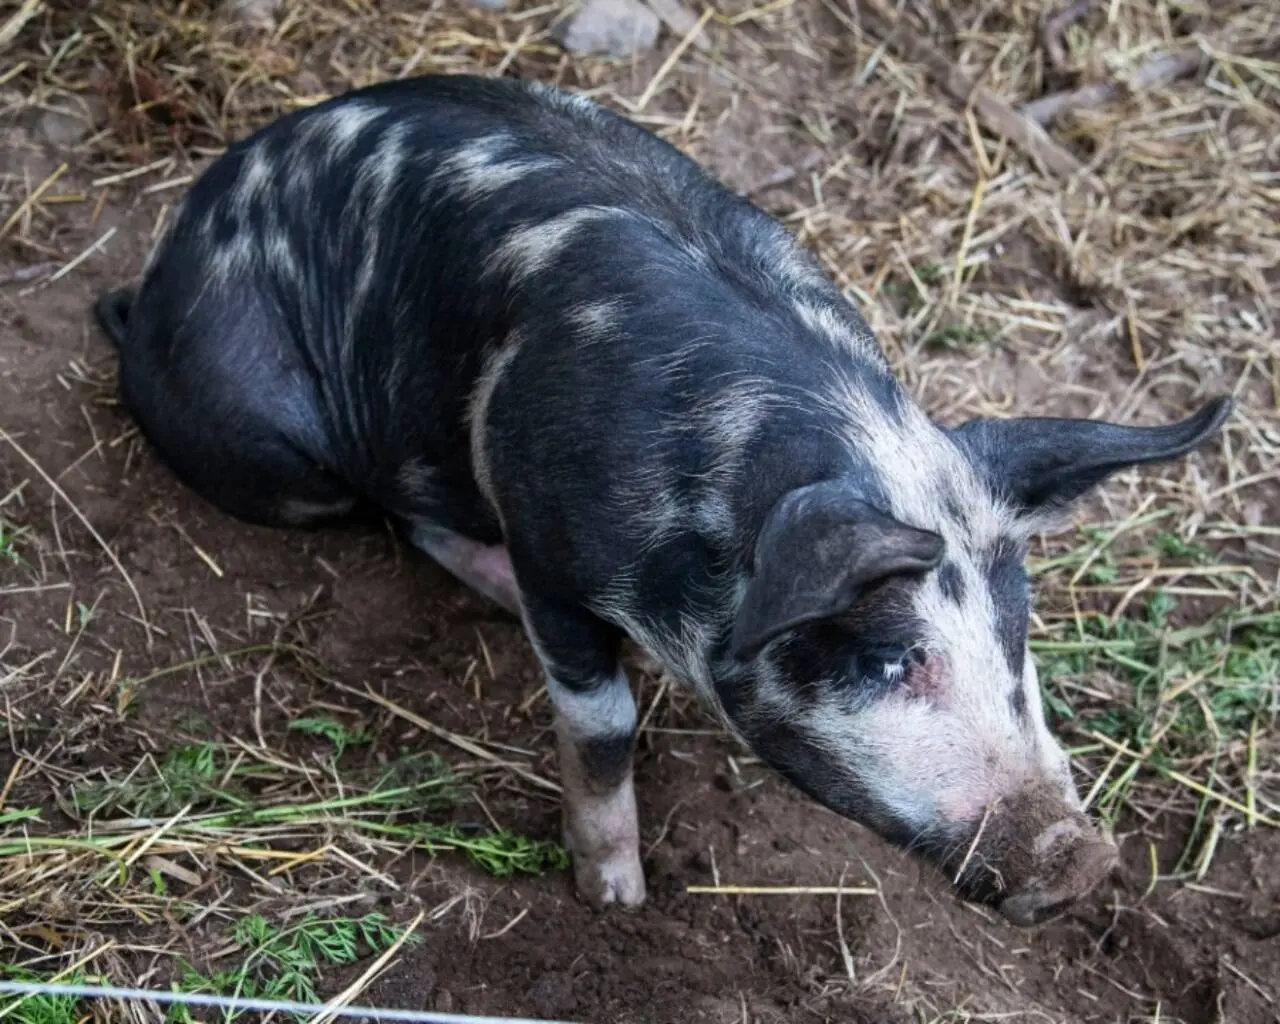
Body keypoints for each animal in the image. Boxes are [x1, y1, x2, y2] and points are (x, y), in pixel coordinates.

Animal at [93, 73, 1231, 925]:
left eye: (1016, 639)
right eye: (889, 657)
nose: (1080, 860)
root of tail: (155, 277)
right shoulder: (550, 537)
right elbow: (601, 728)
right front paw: (616, 901)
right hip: (281, 456)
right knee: (394, 510)